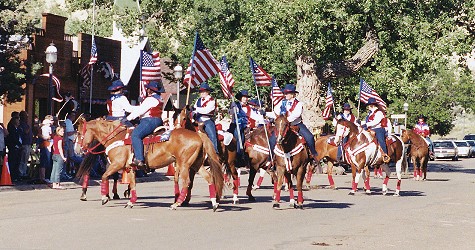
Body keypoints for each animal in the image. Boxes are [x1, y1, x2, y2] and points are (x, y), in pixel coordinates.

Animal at [76, 117, 225, 211]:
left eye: (78, 132)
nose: (77, 149)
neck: (117, 137)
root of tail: (198, 135)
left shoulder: (117, 164)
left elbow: (104, 176)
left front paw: (104, 198)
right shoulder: (130, 168)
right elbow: (132, 184)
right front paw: (130, 202)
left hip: (184, 165)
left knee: (187, 182)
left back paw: (176, 204)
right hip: (196, 164)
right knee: (209, 178)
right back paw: (214, 204)